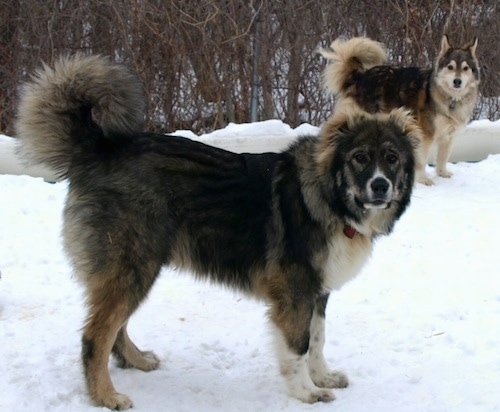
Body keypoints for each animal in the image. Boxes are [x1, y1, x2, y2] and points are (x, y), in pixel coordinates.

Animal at [15, 54, 420, 408]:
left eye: (392, 158)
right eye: (360, 158)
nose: (381, 186)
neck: (328, 194)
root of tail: (96, 150)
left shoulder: (317, 292)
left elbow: (318, 340)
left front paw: (323, 377)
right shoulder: (295, 293)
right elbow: (299, 346)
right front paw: (306, 391)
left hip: (136, 269)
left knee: (114, 329)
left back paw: (137, 361)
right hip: (133, 267)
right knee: (94, 337)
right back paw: (106, 396)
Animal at [320, 36, 480, 184]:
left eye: (465, 68)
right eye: (450, 67)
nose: (457, 81)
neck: (451, 98)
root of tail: (359, 76)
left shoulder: (449, 136)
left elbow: (443, 157)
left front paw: (442, 174)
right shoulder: (425, 135)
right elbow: (422, 160)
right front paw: (423, 179)